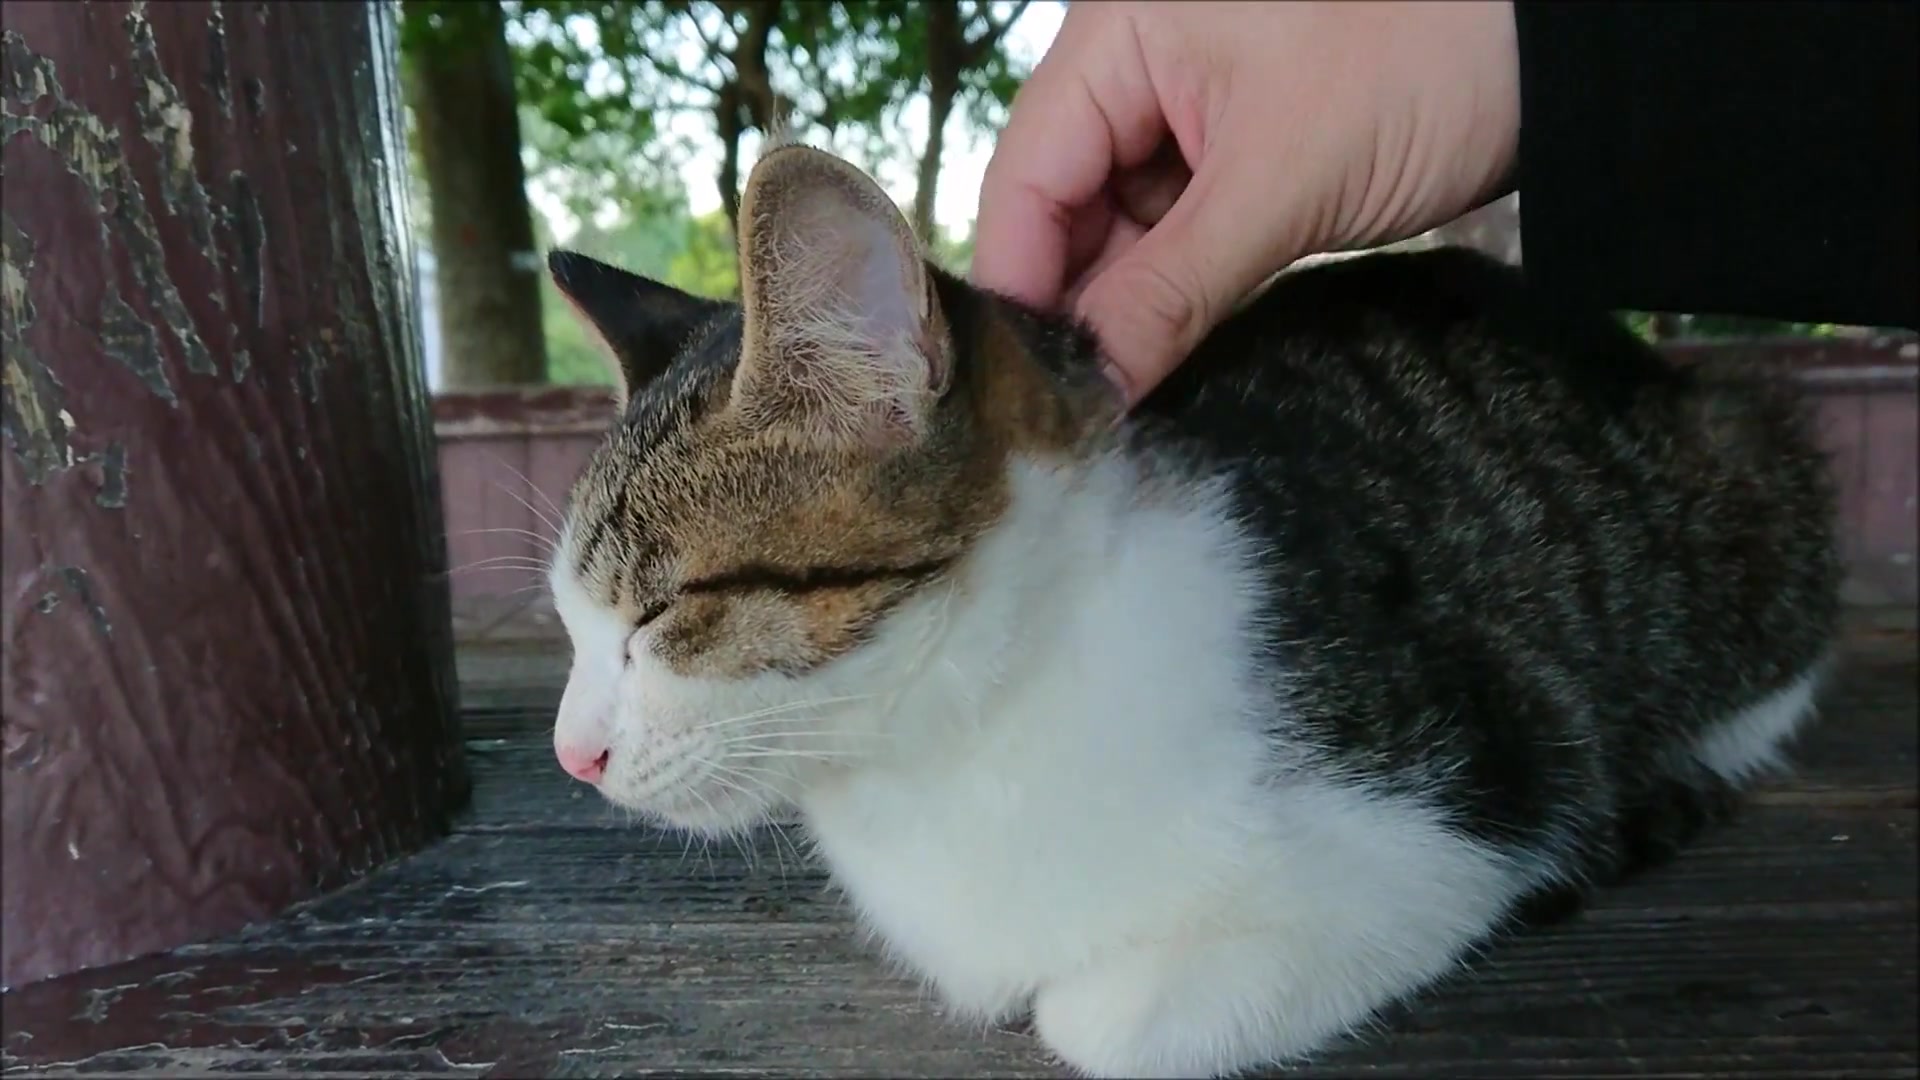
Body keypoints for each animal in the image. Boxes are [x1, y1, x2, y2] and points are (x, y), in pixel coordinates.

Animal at [545, 145, 1843, 1076]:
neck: (961, 736)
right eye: (568, 622)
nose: (571, 755)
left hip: (1748, 479)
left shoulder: (1469, 801)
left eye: (660, 613)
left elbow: (1104, 1024)